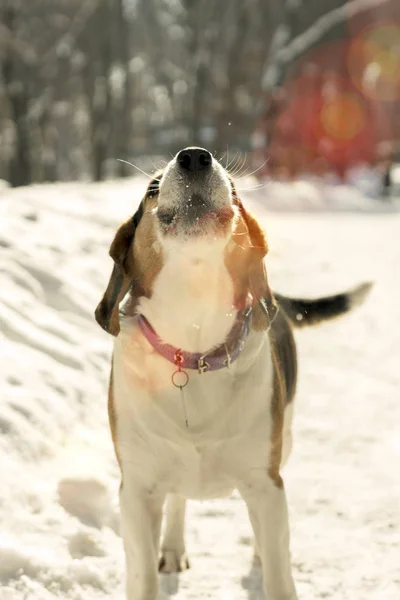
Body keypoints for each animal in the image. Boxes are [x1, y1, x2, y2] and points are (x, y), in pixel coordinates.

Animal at [95, 148, 370, 600]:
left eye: (236, 190)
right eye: (152, 187)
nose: (194, 157)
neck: (195, 345)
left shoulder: (266, 483)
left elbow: (278, 572)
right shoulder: (135, 490)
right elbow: (144, 577)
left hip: (283, 446)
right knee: (177, 499)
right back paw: (172, 547)